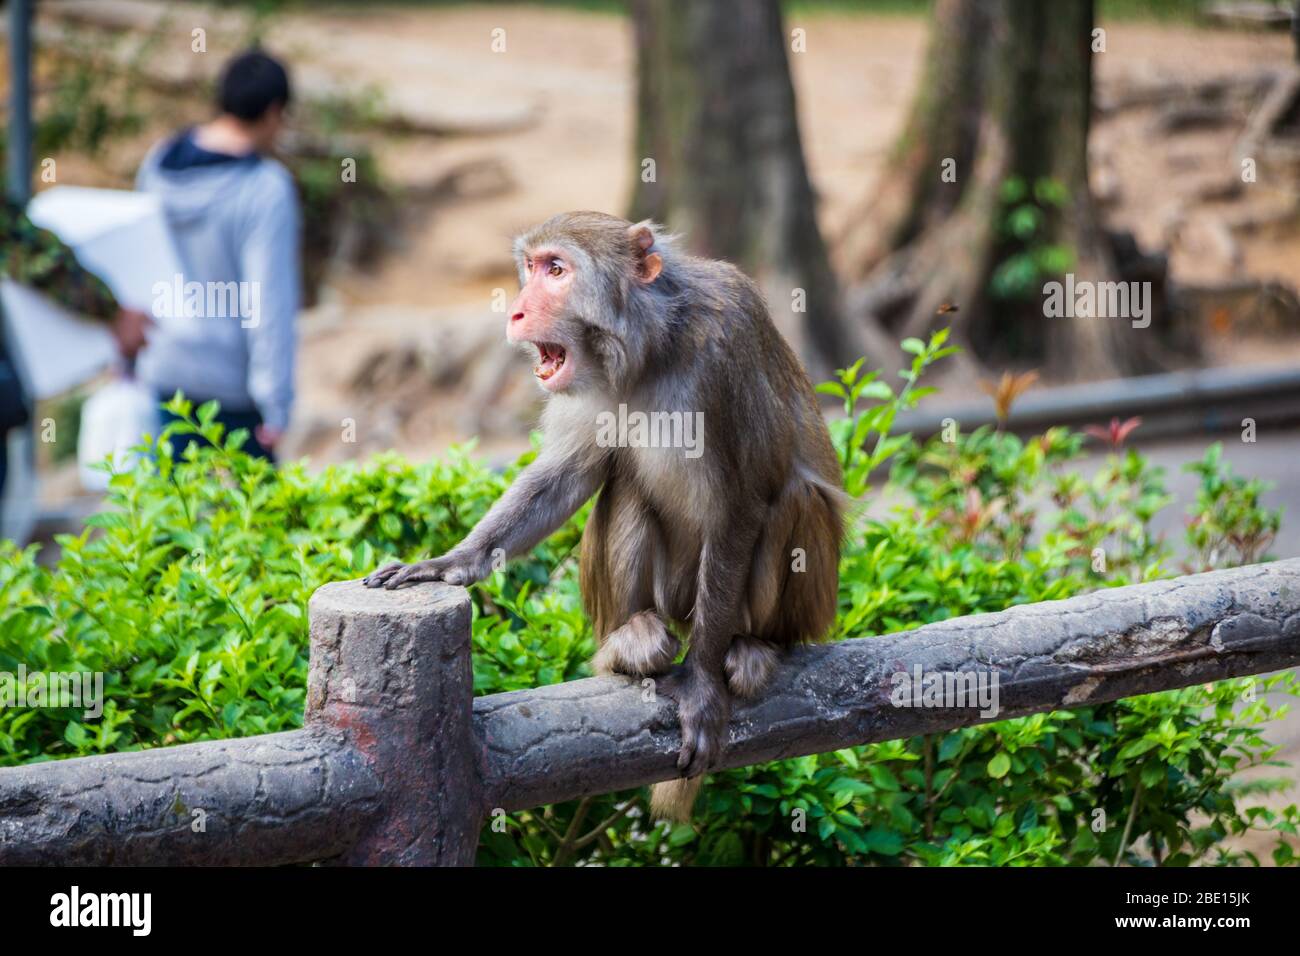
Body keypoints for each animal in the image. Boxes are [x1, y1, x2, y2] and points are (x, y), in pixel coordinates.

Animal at [366, 210, 842, 822]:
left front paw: (702, 687)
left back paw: (757, 647)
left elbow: (743, 504)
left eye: (557, 270)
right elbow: (567, 476)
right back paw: (627, 645)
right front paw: (450, 561)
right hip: (667, 597)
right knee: (627, 482)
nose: (516, 311)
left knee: (794, 500)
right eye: (530, 267)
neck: (652, 347)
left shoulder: (729, 341)